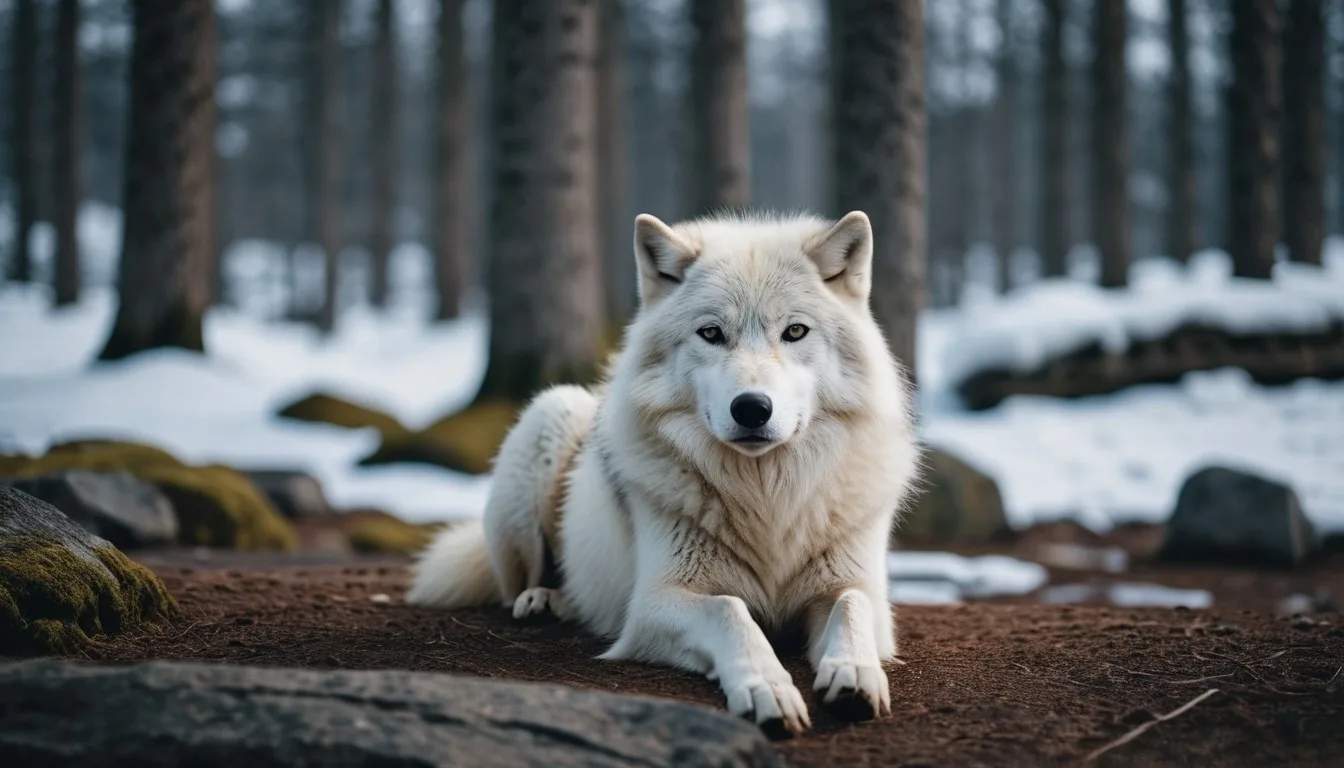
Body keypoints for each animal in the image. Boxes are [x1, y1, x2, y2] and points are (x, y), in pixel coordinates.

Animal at [407, 210, 920, 736]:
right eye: (711, 333)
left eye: (795, 332)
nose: (752, 408)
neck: (765, 498)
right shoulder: (655, 604)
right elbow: (730, 610)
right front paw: (767, 689)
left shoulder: (859, 592)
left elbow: (852, 607)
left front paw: (853, 673)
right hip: (551, 414)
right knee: (526, 583)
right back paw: (544, 602)